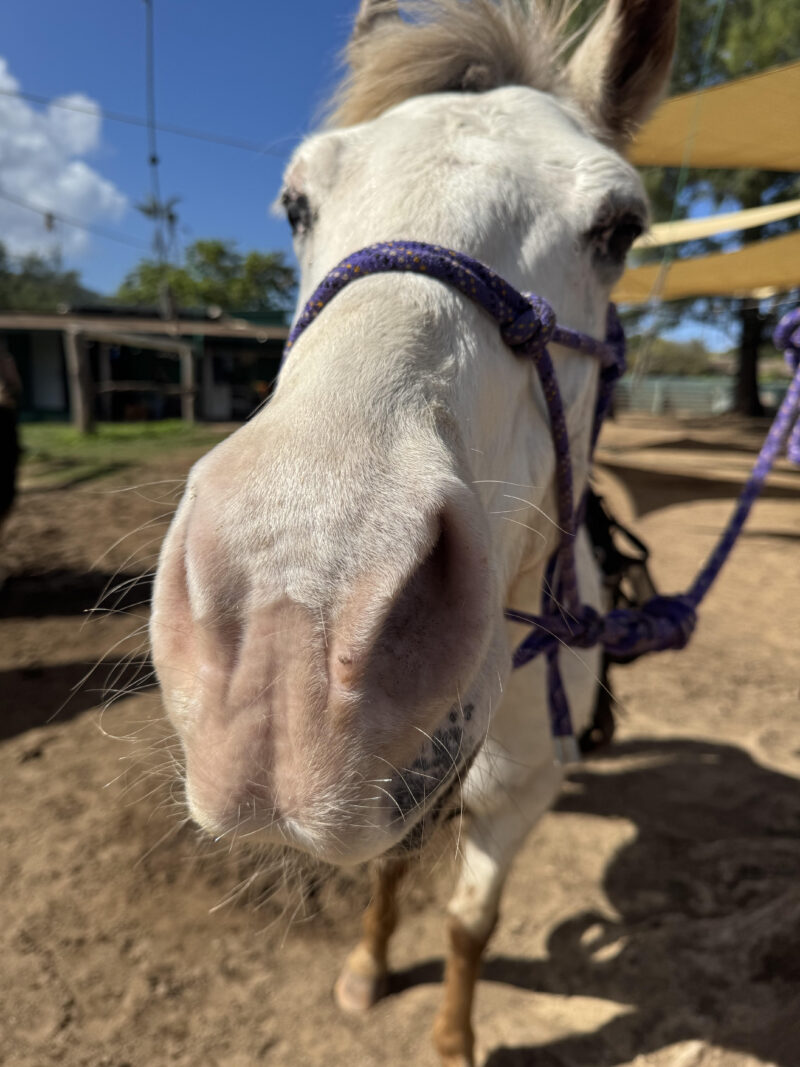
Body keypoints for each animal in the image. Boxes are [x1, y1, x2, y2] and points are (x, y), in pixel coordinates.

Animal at [149, 4, 678, 1062]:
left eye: (620, 227)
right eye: (296, 202)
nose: (289, 630)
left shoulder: (518, 798)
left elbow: (471, 922)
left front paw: (451, 1035)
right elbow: (389, 873)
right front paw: (366, 968)